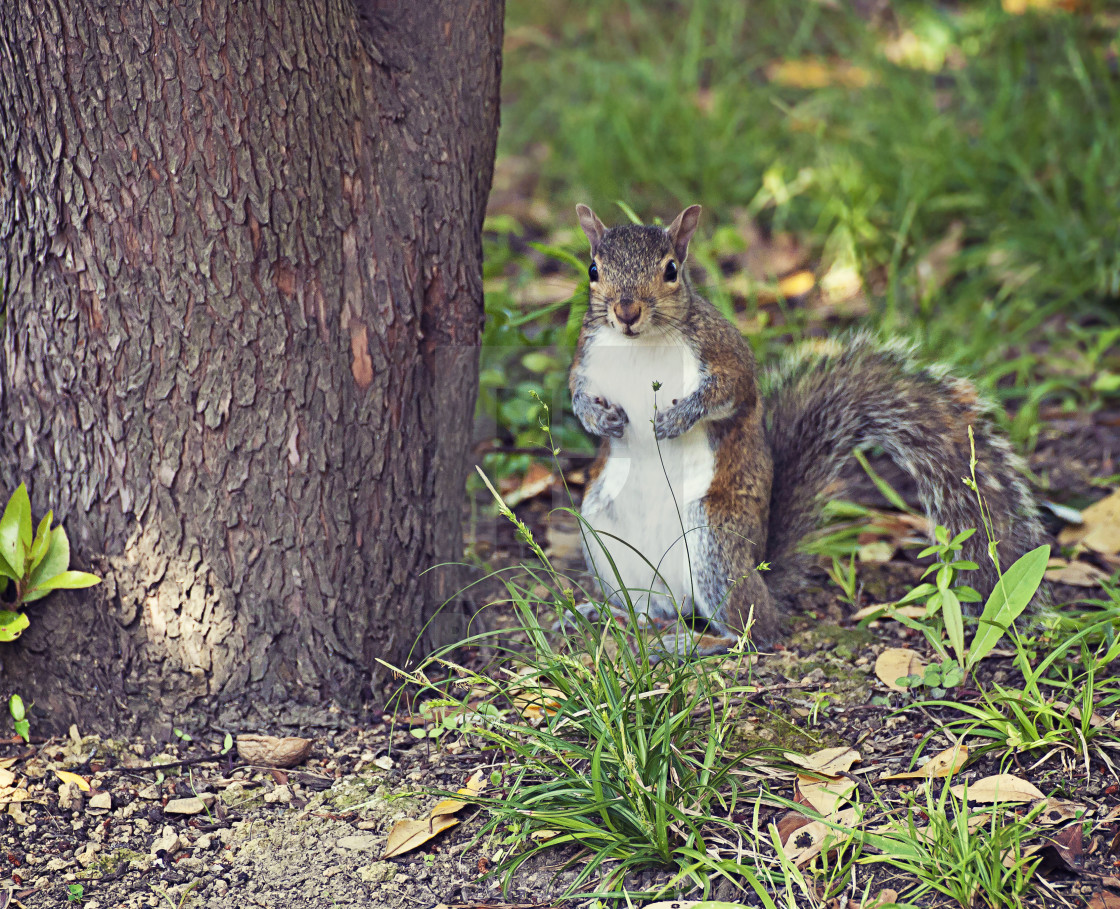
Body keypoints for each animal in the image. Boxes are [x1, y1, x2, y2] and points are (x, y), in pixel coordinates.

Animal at [568, 207, 1048, 658]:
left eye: (670, 270)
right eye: (593, 269)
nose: (626, 312)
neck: (638, 344)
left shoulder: (724, 354)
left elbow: (729, 392)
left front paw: (678, 418)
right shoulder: (585, 359)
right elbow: (575, 393)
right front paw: (599, 420)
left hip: (714, 541)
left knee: (754, 631)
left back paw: (698, 642)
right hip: (601, 532)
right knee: (653, 609)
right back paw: (610, 613)